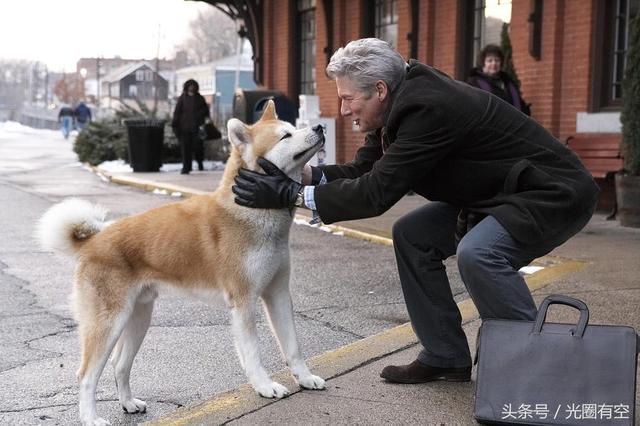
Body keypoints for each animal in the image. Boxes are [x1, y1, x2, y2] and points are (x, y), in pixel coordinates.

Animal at [36, 101, 324, 424]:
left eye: (294, 128)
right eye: (285, 136)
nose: (319, 127)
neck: (252, 211)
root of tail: (93, 241)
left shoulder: (278, 294)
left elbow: (293, 346)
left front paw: (305, 377)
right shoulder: (244, 302)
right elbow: (253, 353)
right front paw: (264, 386)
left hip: (138, 318)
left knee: (119, 365)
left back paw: (129, 403)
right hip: (108, 323)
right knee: (86, 375)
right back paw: (91, 418)